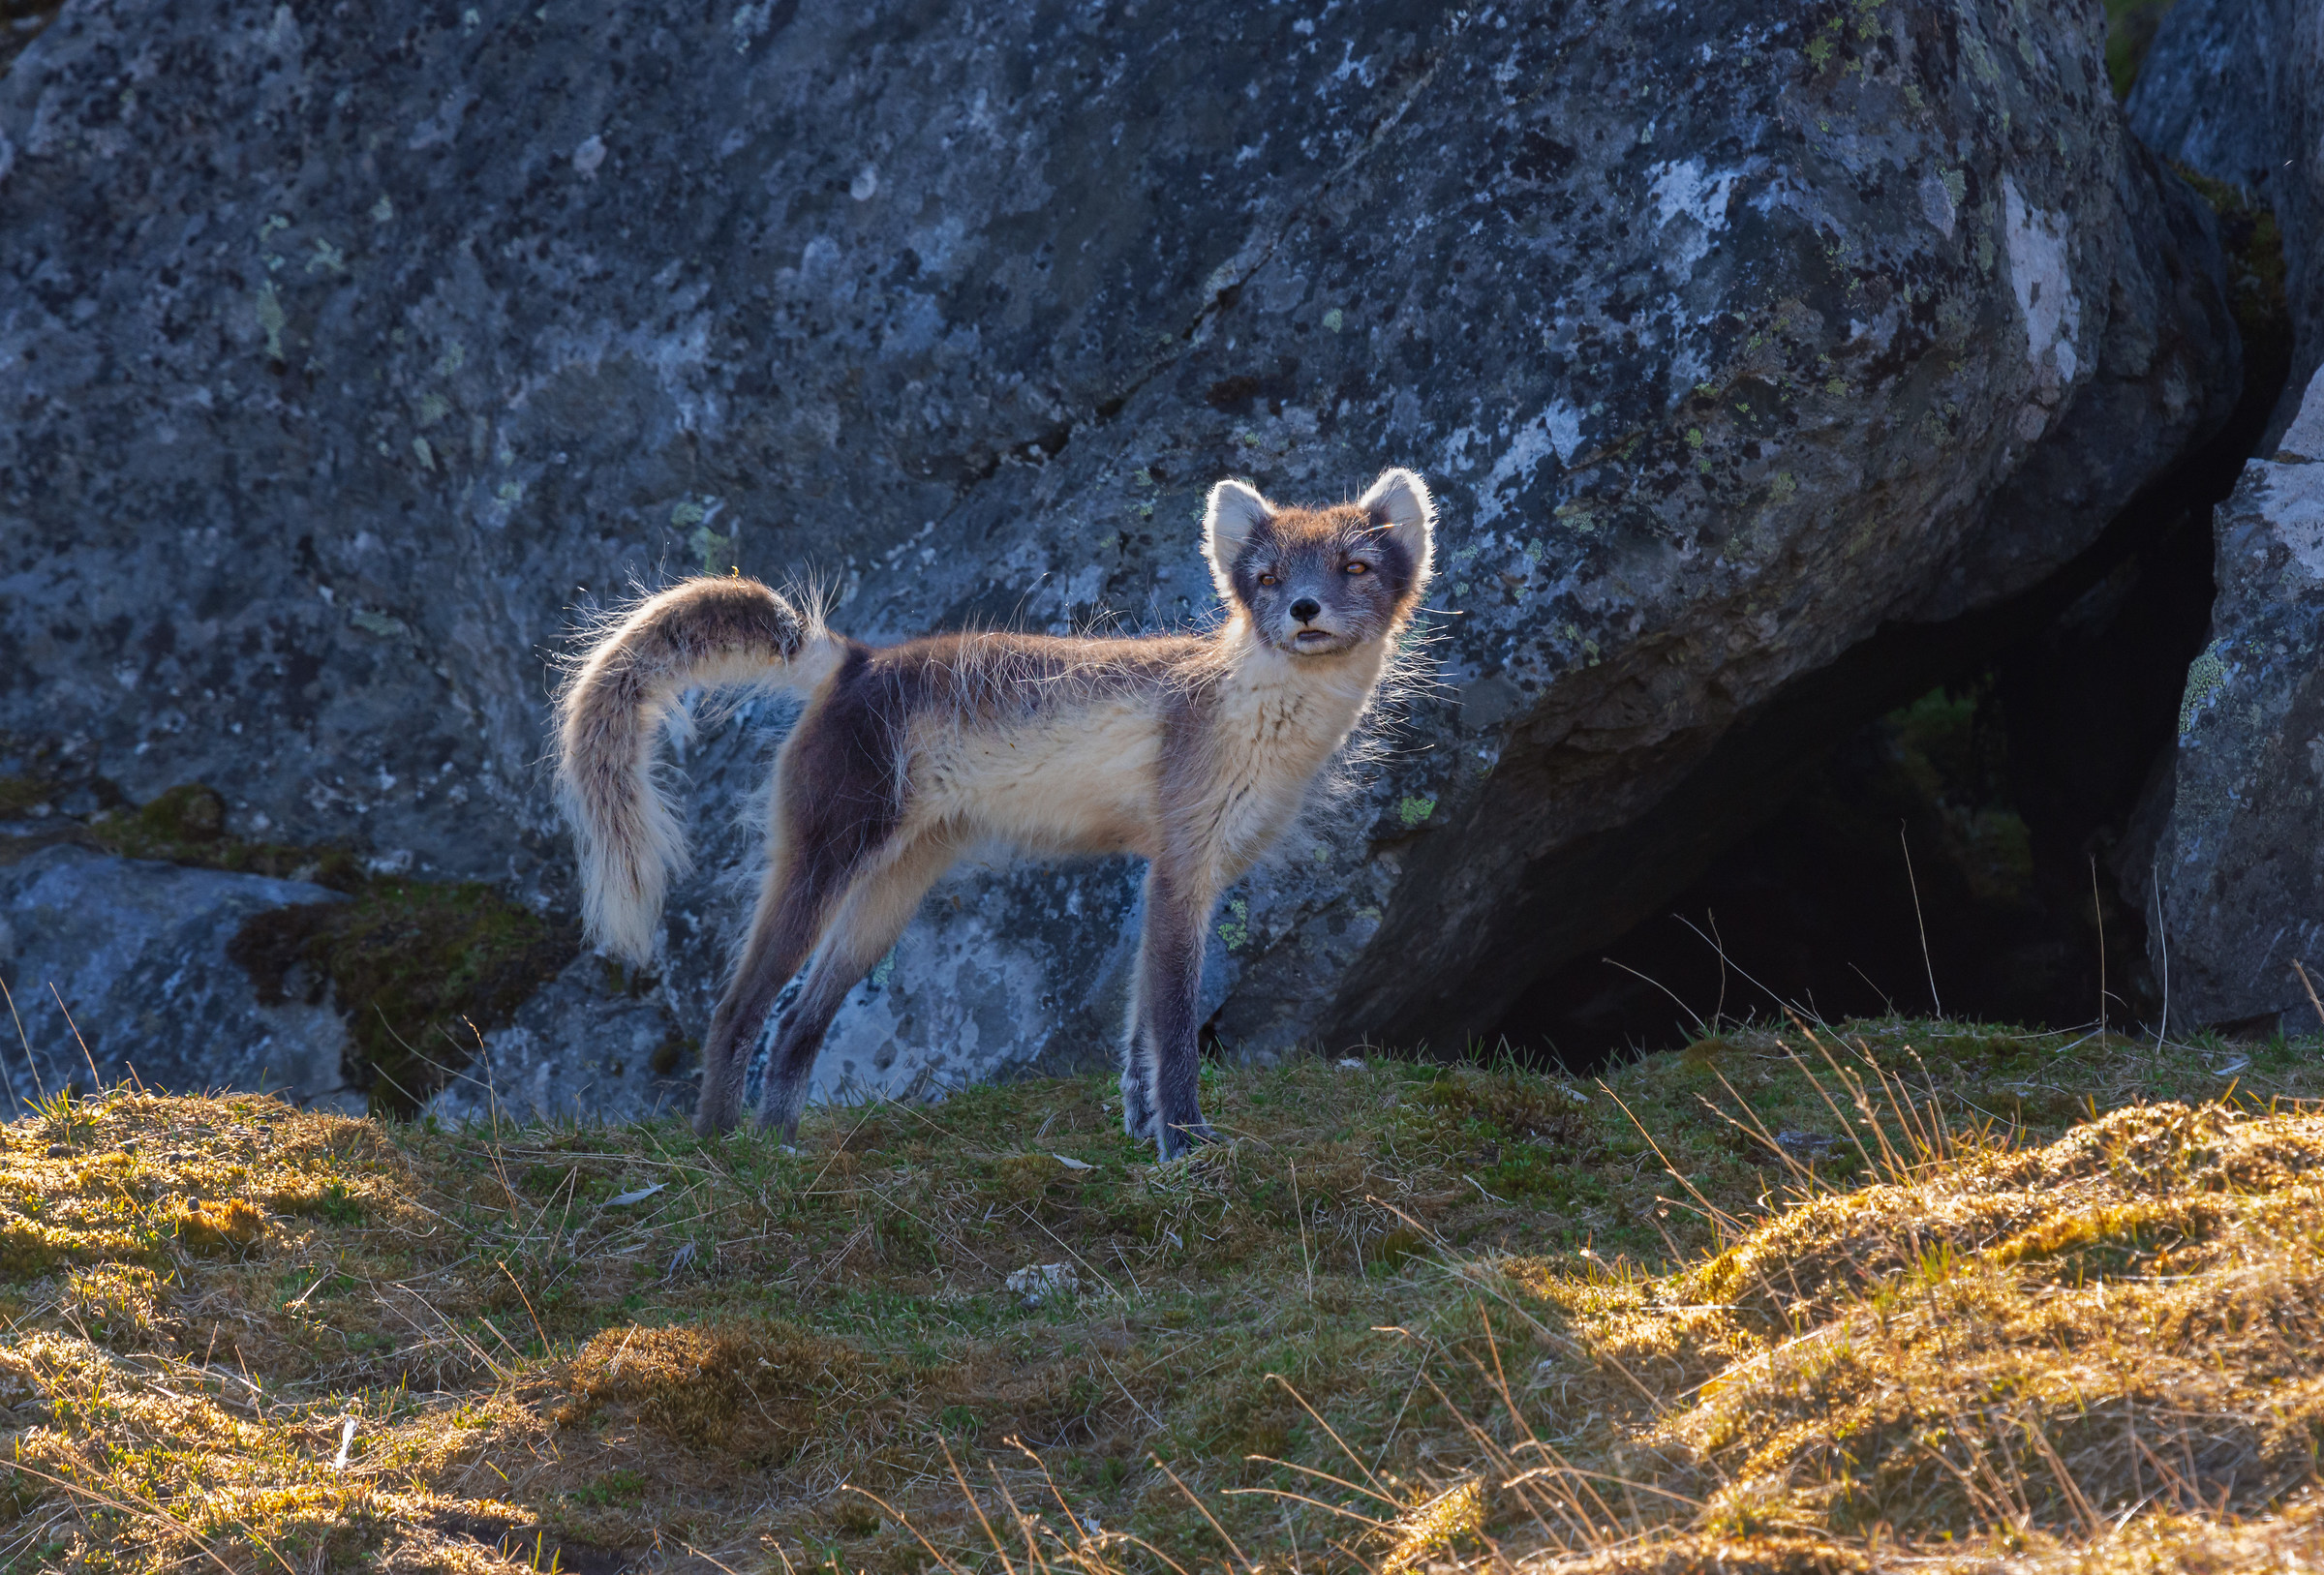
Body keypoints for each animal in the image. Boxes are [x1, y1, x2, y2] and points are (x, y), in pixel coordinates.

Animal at [555, 467, 1436, 1158]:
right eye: (1268, 577)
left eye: (1355, 566)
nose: (1305, 610)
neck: (1255, 712)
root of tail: (854, 660)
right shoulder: (1182, 869)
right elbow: (1176, 1030)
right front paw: (1185, 1144)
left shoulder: (1180, 873)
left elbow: (1138, 1036)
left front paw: (1140, 1127)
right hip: (822, 861)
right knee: (736, 1011)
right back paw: (719, 1153)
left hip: (891, 894)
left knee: (799, 1023)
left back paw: (782, 1152)